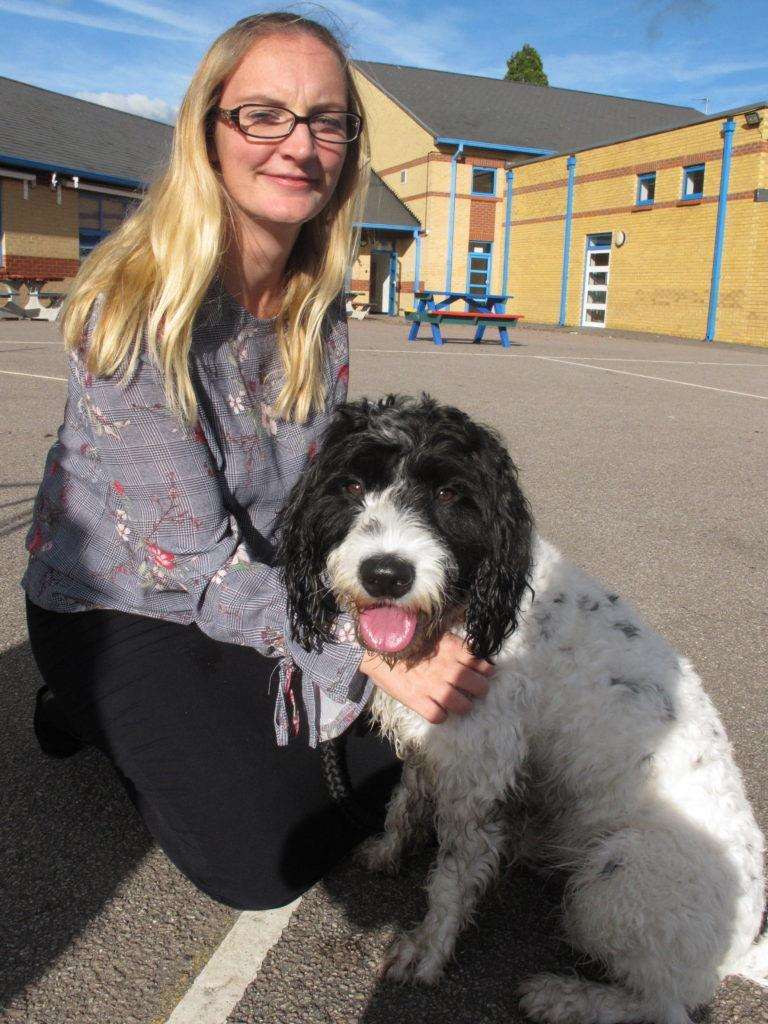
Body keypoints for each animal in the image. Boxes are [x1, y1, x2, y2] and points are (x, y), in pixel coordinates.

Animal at [278, 393, 768, 1024]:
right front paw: (388, 849)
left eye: (449, 493)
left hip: (612, 880)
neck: (470, 608)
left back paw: (562, 995)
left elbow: (453, 876)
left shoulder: (476, 777)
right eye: (352, 483)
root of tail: (740, 949)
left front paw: (426, 952)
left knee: (662, 1006)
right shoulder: (437, 744)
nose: (386, 574)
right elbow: (405, 800)